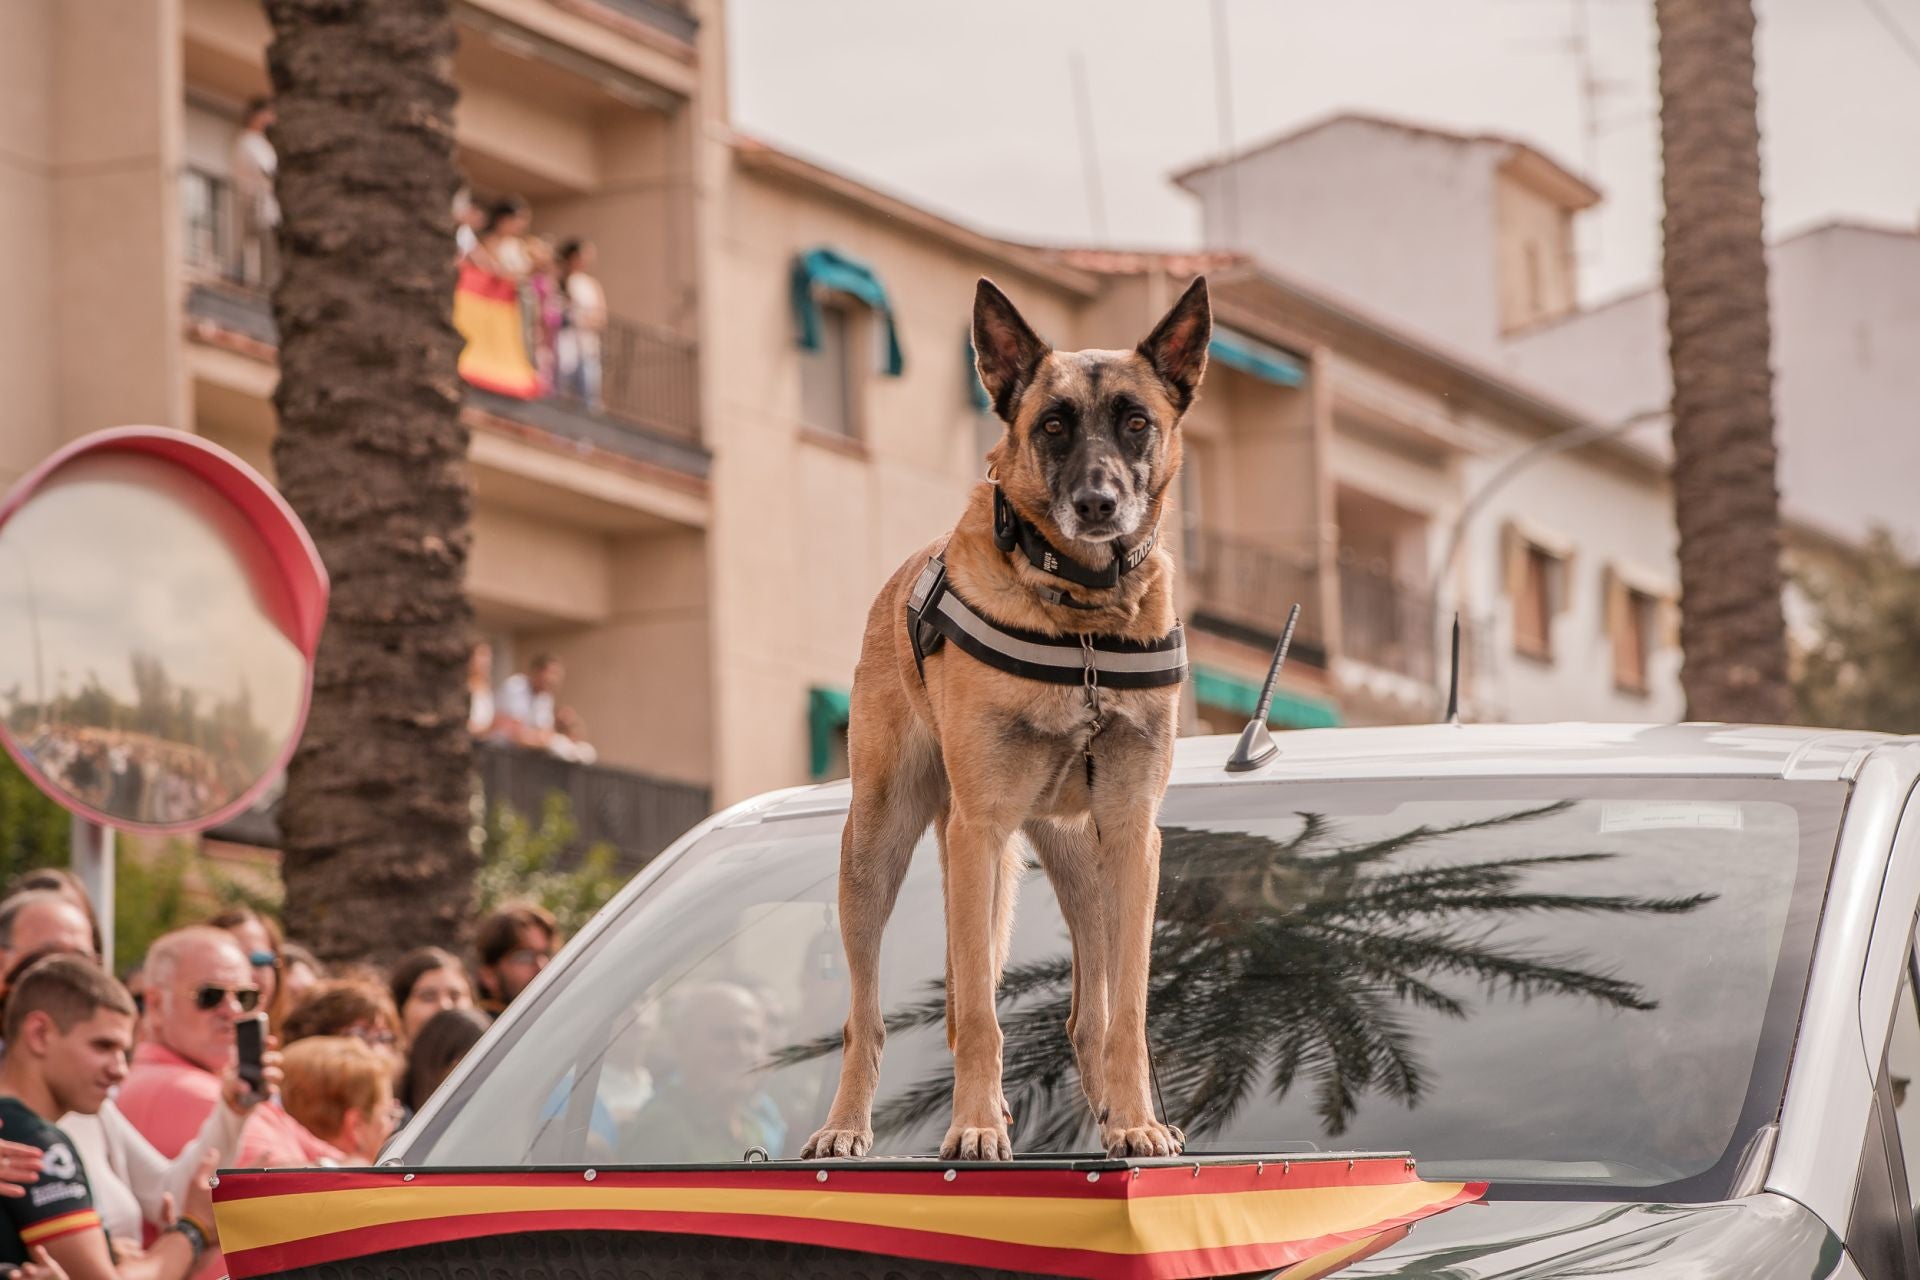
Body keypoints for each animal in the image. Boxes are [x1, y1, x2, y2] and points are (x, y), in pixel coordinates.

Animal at [802, 276, 1205, 1166]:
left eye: (1137, 421)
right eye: (1052, 425)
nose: (1097, 504)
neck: (1082, 617)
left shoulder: (1134, 835)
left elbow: (1128, 1010)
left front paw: (1136, 1120)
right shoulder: (979, 828)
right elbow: (982, 1015)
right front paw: (977, 1124)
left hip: (1083, 865)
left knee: (1088, 1014)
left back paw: (1113, 1114)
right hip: (877, 849)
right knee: (869, 1014)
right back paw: (847, 1123)